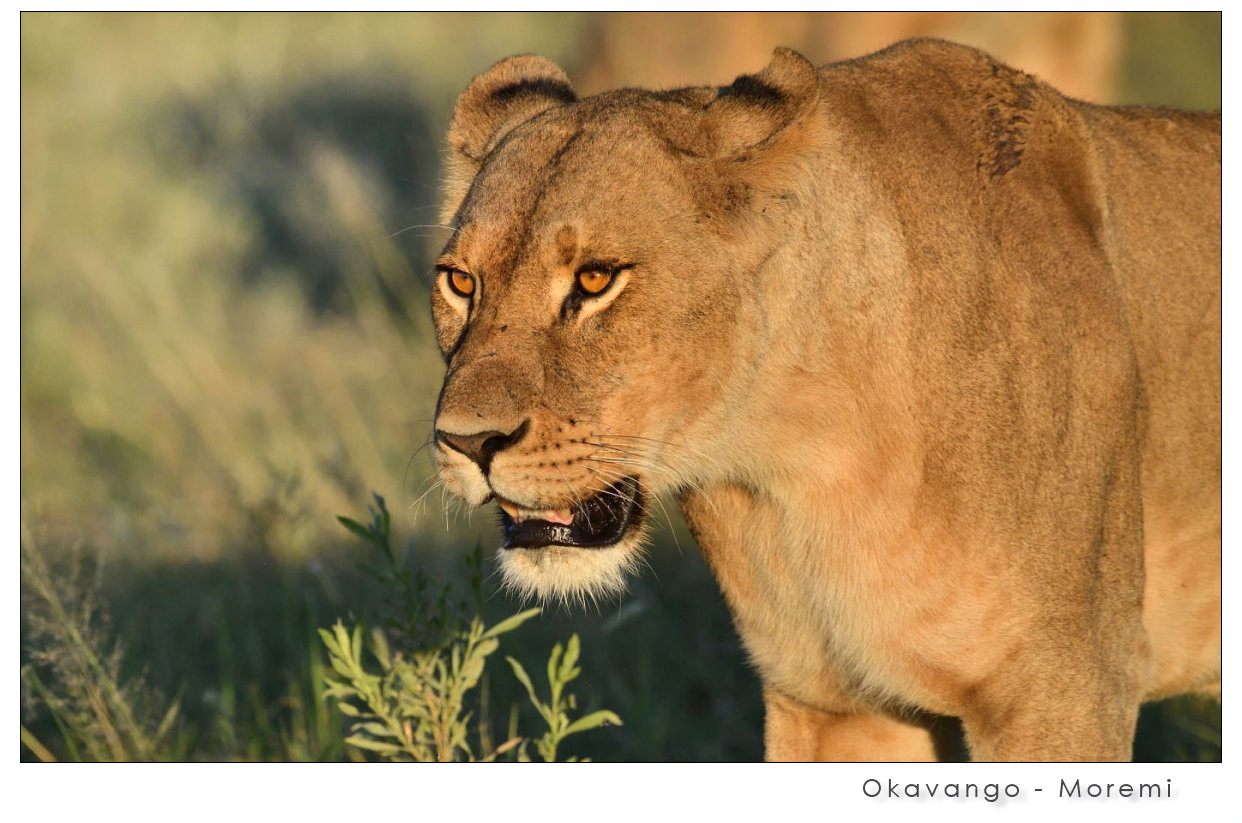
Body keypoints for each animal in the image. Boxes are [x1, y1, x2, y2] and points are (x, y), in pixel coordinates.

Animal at [428, 38, 1220, 762]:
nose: (467, 441)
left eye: (595, 280)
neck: (787, 459)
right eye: (460, 282)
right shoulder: (839, 702)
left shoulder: (1069, 686)